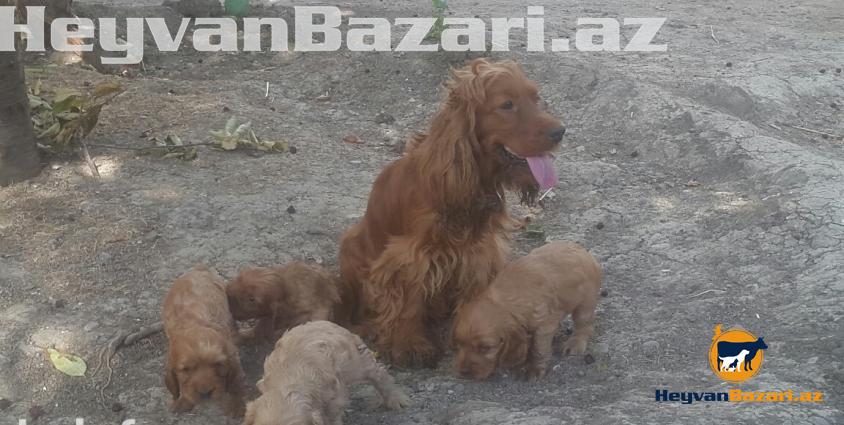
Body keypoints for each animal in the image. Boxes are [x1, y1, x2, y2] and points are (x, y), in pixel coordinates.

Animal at [162, 264, 246, 417]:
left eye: (218, 364)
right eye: (186, 369)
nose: (205, 393)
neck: (194, 323)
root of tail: (199, 268)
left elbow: (236, 380)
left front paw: (237, 405)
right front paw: (182, 401)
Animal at [243, 321, 410, 425]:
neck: (289, 381)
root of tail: (326, 322)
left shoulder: (332, 396)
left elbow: (331, 416)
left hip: (356, 362)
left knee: (379, 374)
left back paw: (395, 400)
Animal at [339, 59, 565, 367]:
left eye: (536, 97)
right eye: (507, 105)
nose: (560, 132)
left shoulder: (480, 254)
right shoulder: (409, 257)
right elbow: (407, 303)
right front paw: (408, 344)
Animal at [452, 242, 602, 381]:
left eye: (485, 348)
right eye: (459, 343)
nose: (464, 372)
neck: (503, 301)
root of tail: (582, 250)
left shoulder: (544, 325)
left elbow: (538, 348)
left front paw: (534, 368)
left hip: (585, 303)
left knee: (584, 325)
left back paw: (575, 343)